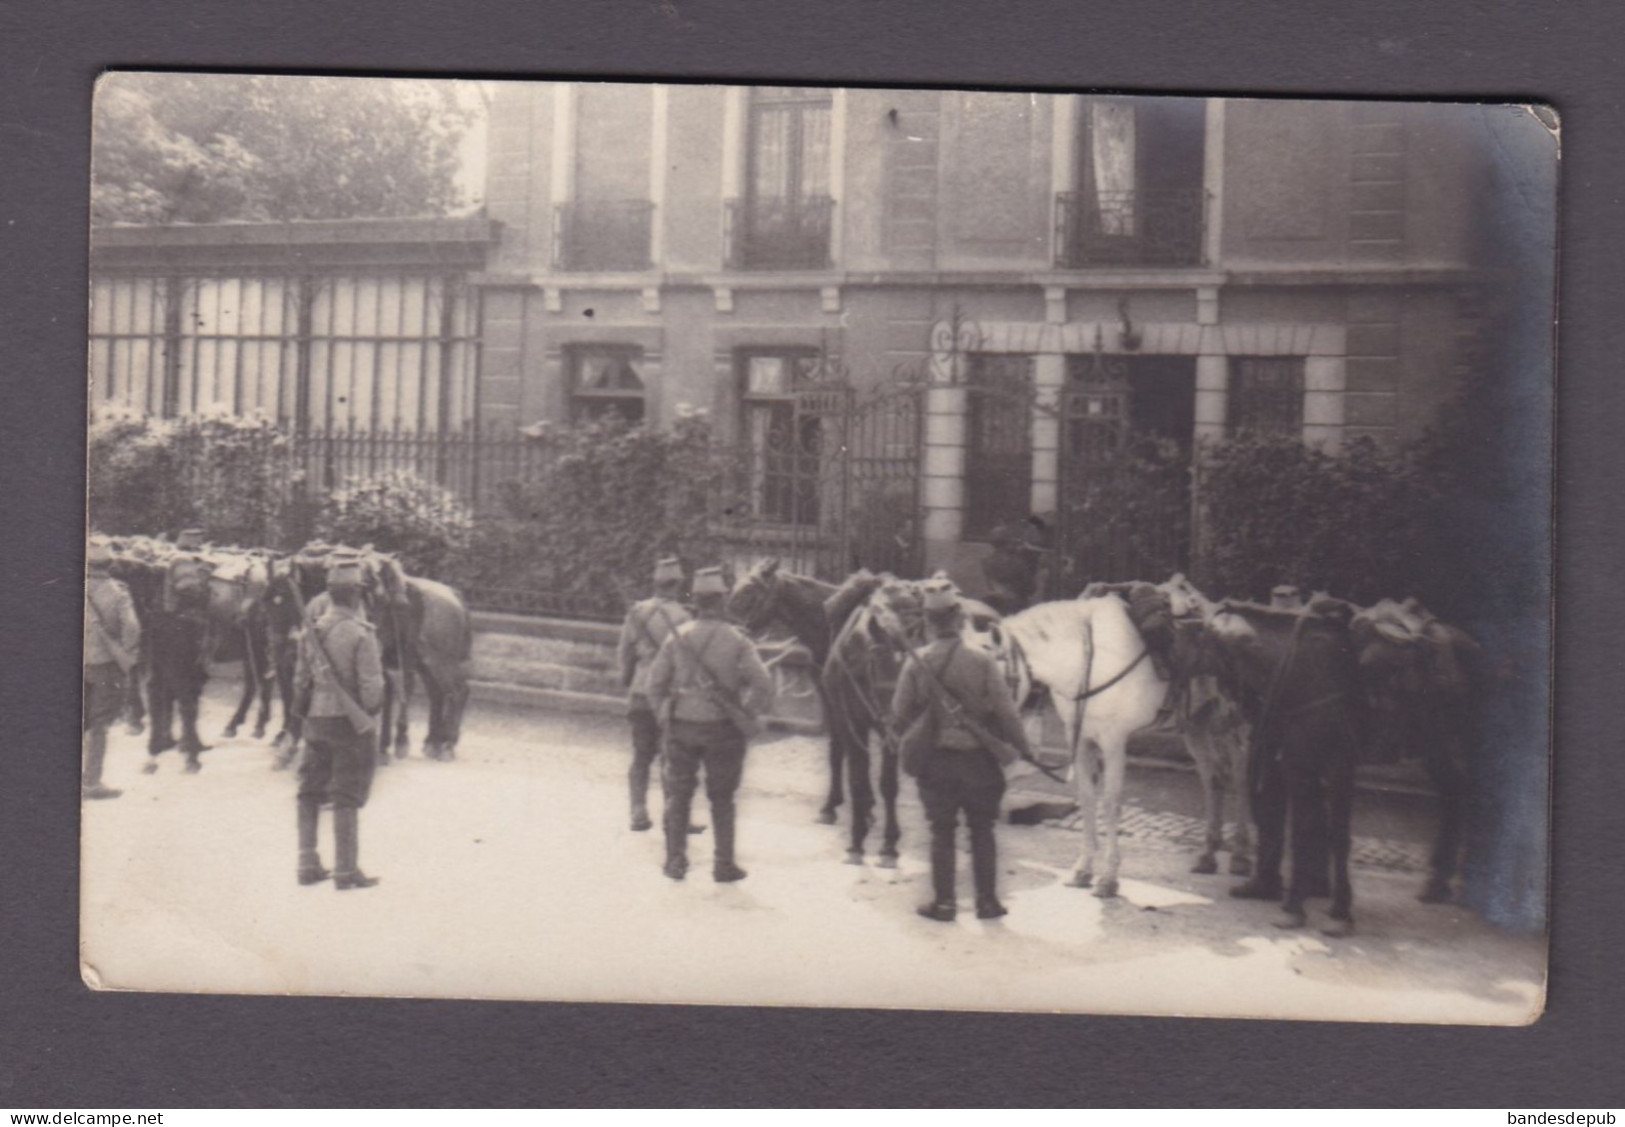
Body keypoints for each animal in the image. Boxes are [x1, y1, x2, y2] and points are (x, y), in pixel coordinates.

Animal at [1001, 600, 1170, 902]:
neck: (1088, 661)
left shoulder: (1113, 740)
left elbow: (1111, 804)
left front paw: (1109, 879)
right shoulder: (1079, 739)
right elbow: (1088, 799)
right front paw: (1083, 870)